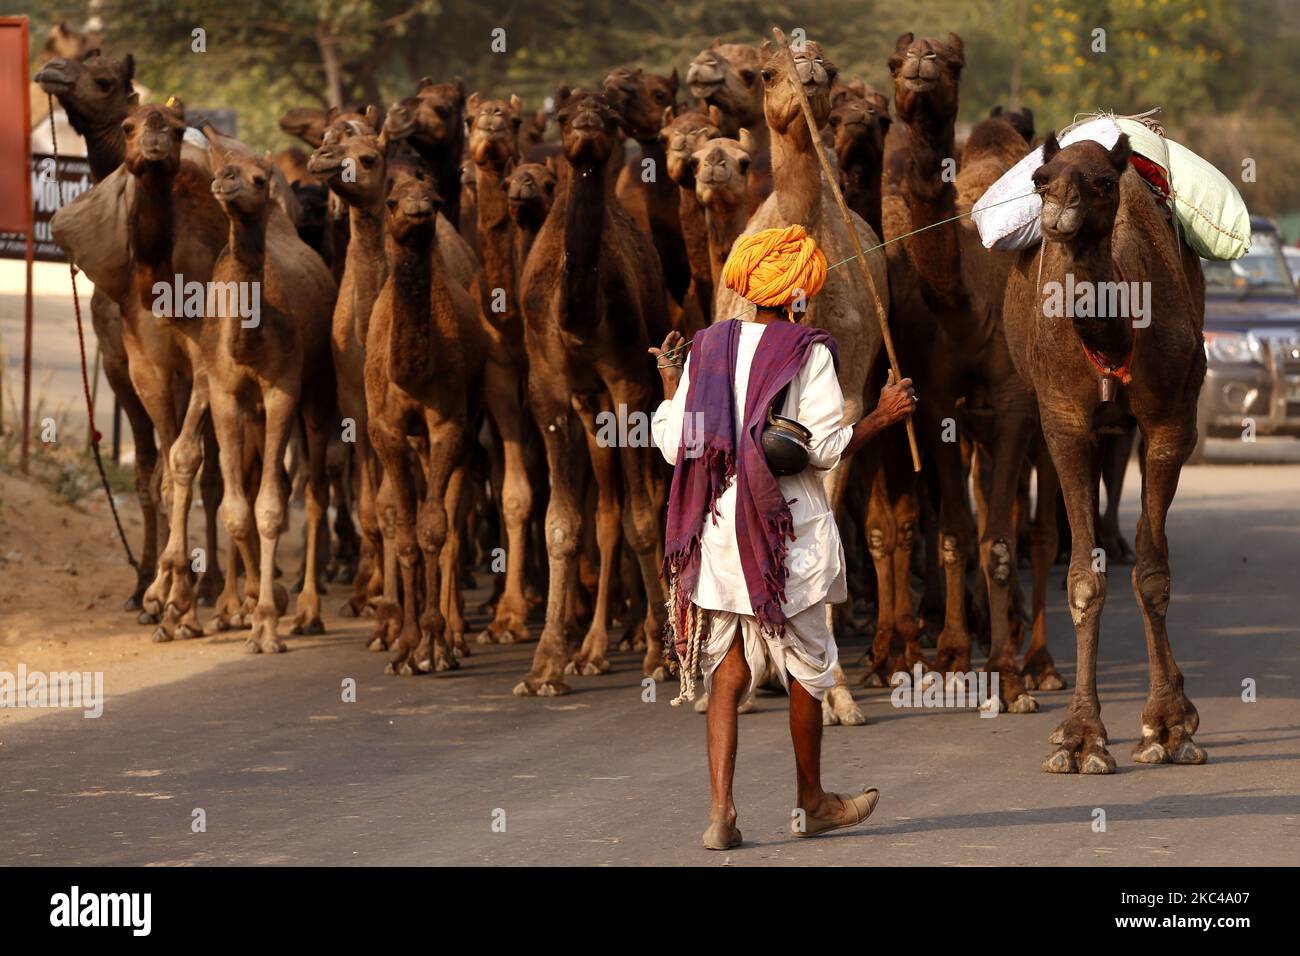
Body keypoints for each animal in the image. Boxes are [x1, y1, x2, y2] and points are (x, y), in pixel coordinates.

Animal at [202, 135, 338, 649]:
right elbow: (237, 509)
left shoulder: (283, 391)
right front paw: (254, 606)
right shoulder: (224, 394)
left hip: (318, 392)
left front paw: (265, 620)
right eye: (219, 169)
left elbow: (270, 507)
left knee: (315, 490)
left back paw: (308, 610)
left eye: (259, 178)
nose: (226, 180)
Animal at [514, 90, 671, 696]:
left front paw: (661, 653)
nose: (582, 124)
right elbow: (563, 524)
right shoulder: (550, 394)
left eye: (608, 113)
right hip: (590, 412)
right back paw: (592, 650)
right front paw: (545, 666)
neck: (578, 318)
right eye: (564, 115)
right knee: (605, 511)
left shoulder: (631, 384)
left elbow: (644, 521)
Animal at [886, 32, 1060, 711]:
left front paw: (1008, 675)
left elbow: (1000, 542)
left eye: (952, 61)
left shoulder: (1014, 406)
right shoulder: (937, 405)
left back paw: (1041, 661)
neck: (970, 307)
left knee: (1039, 532)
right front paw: (954, 657)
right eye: (896, 59)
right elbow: (959, 532)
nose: (921, 64)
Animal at [1003, 133, 1207, 773]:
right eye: (1040, 179)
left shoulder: (1171, 425)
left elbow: (1153, 570)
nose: (1057, 212)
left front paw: (1167, 726)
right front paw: (1080, 738)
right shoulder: (1065, 424)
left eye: (1103, 182)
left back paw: (1182, 704)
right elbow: (1083, 578)